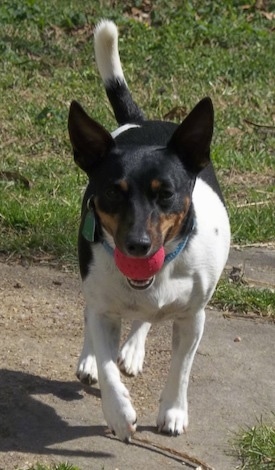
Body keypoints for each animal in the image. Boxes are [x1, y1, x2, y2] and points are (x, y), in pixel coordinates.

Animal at [68, 19, 231, 444]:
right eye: (112, 192)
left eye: (167, 193)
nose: (138, 246)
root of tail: (140, 120)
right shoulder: (105, 306)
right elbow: (106, 362)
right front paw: (118, 411)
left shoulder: (193, 318)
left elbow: (182, 368)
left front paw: (173, 411)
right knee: (92, 314)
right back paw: (90, 357)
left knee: (145, 317)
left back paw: (133, 348)